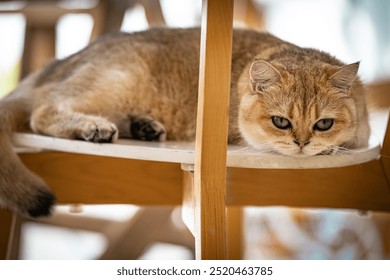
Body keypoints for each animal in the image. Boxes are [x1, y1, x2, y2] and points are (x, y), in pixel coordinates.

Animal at [0, 27, 368, 218]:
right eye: (281, 121)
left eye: (323, 124)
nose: (302, 143)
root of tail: (54, 66)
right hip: (119, 80)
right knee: (42, 111)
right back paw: (94, 128)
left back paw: (143, 127)